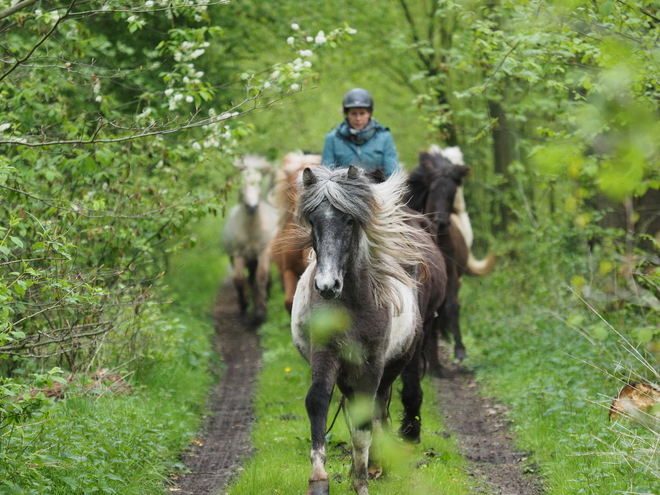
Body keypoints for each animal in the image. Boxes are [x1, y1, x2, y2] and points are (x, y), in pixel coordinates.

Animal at [219, 156, 276, 326]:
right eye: (241, 183)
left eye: (258, 182)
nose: (252, 207)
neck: (251, 228)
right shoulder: (238, 254)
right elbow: (239, 279)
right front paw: (244, 307)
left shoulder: (264, 252)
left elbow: (262, 277)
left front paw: (260, 313)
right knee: (247, 278)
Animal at [292, 166, 446, 495]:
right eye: (313, 221)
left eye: (349, 220)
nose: (327, 286)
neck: (351, 306)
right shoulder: (326, 353)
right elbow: (318, 400)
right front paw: (319, 478)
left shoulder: (372, 363)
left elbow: (366, 417)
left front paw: (362, 480)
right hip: (348, 372)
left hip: (391, 366)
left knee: (377, 406)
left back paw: (375, 463)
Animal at [402, 144, 496, 368]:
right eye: (434, 190)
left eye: (453, 192)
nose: (442, 223)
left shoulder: (452, 277)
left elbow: (452, 307)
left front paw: (460, 350)